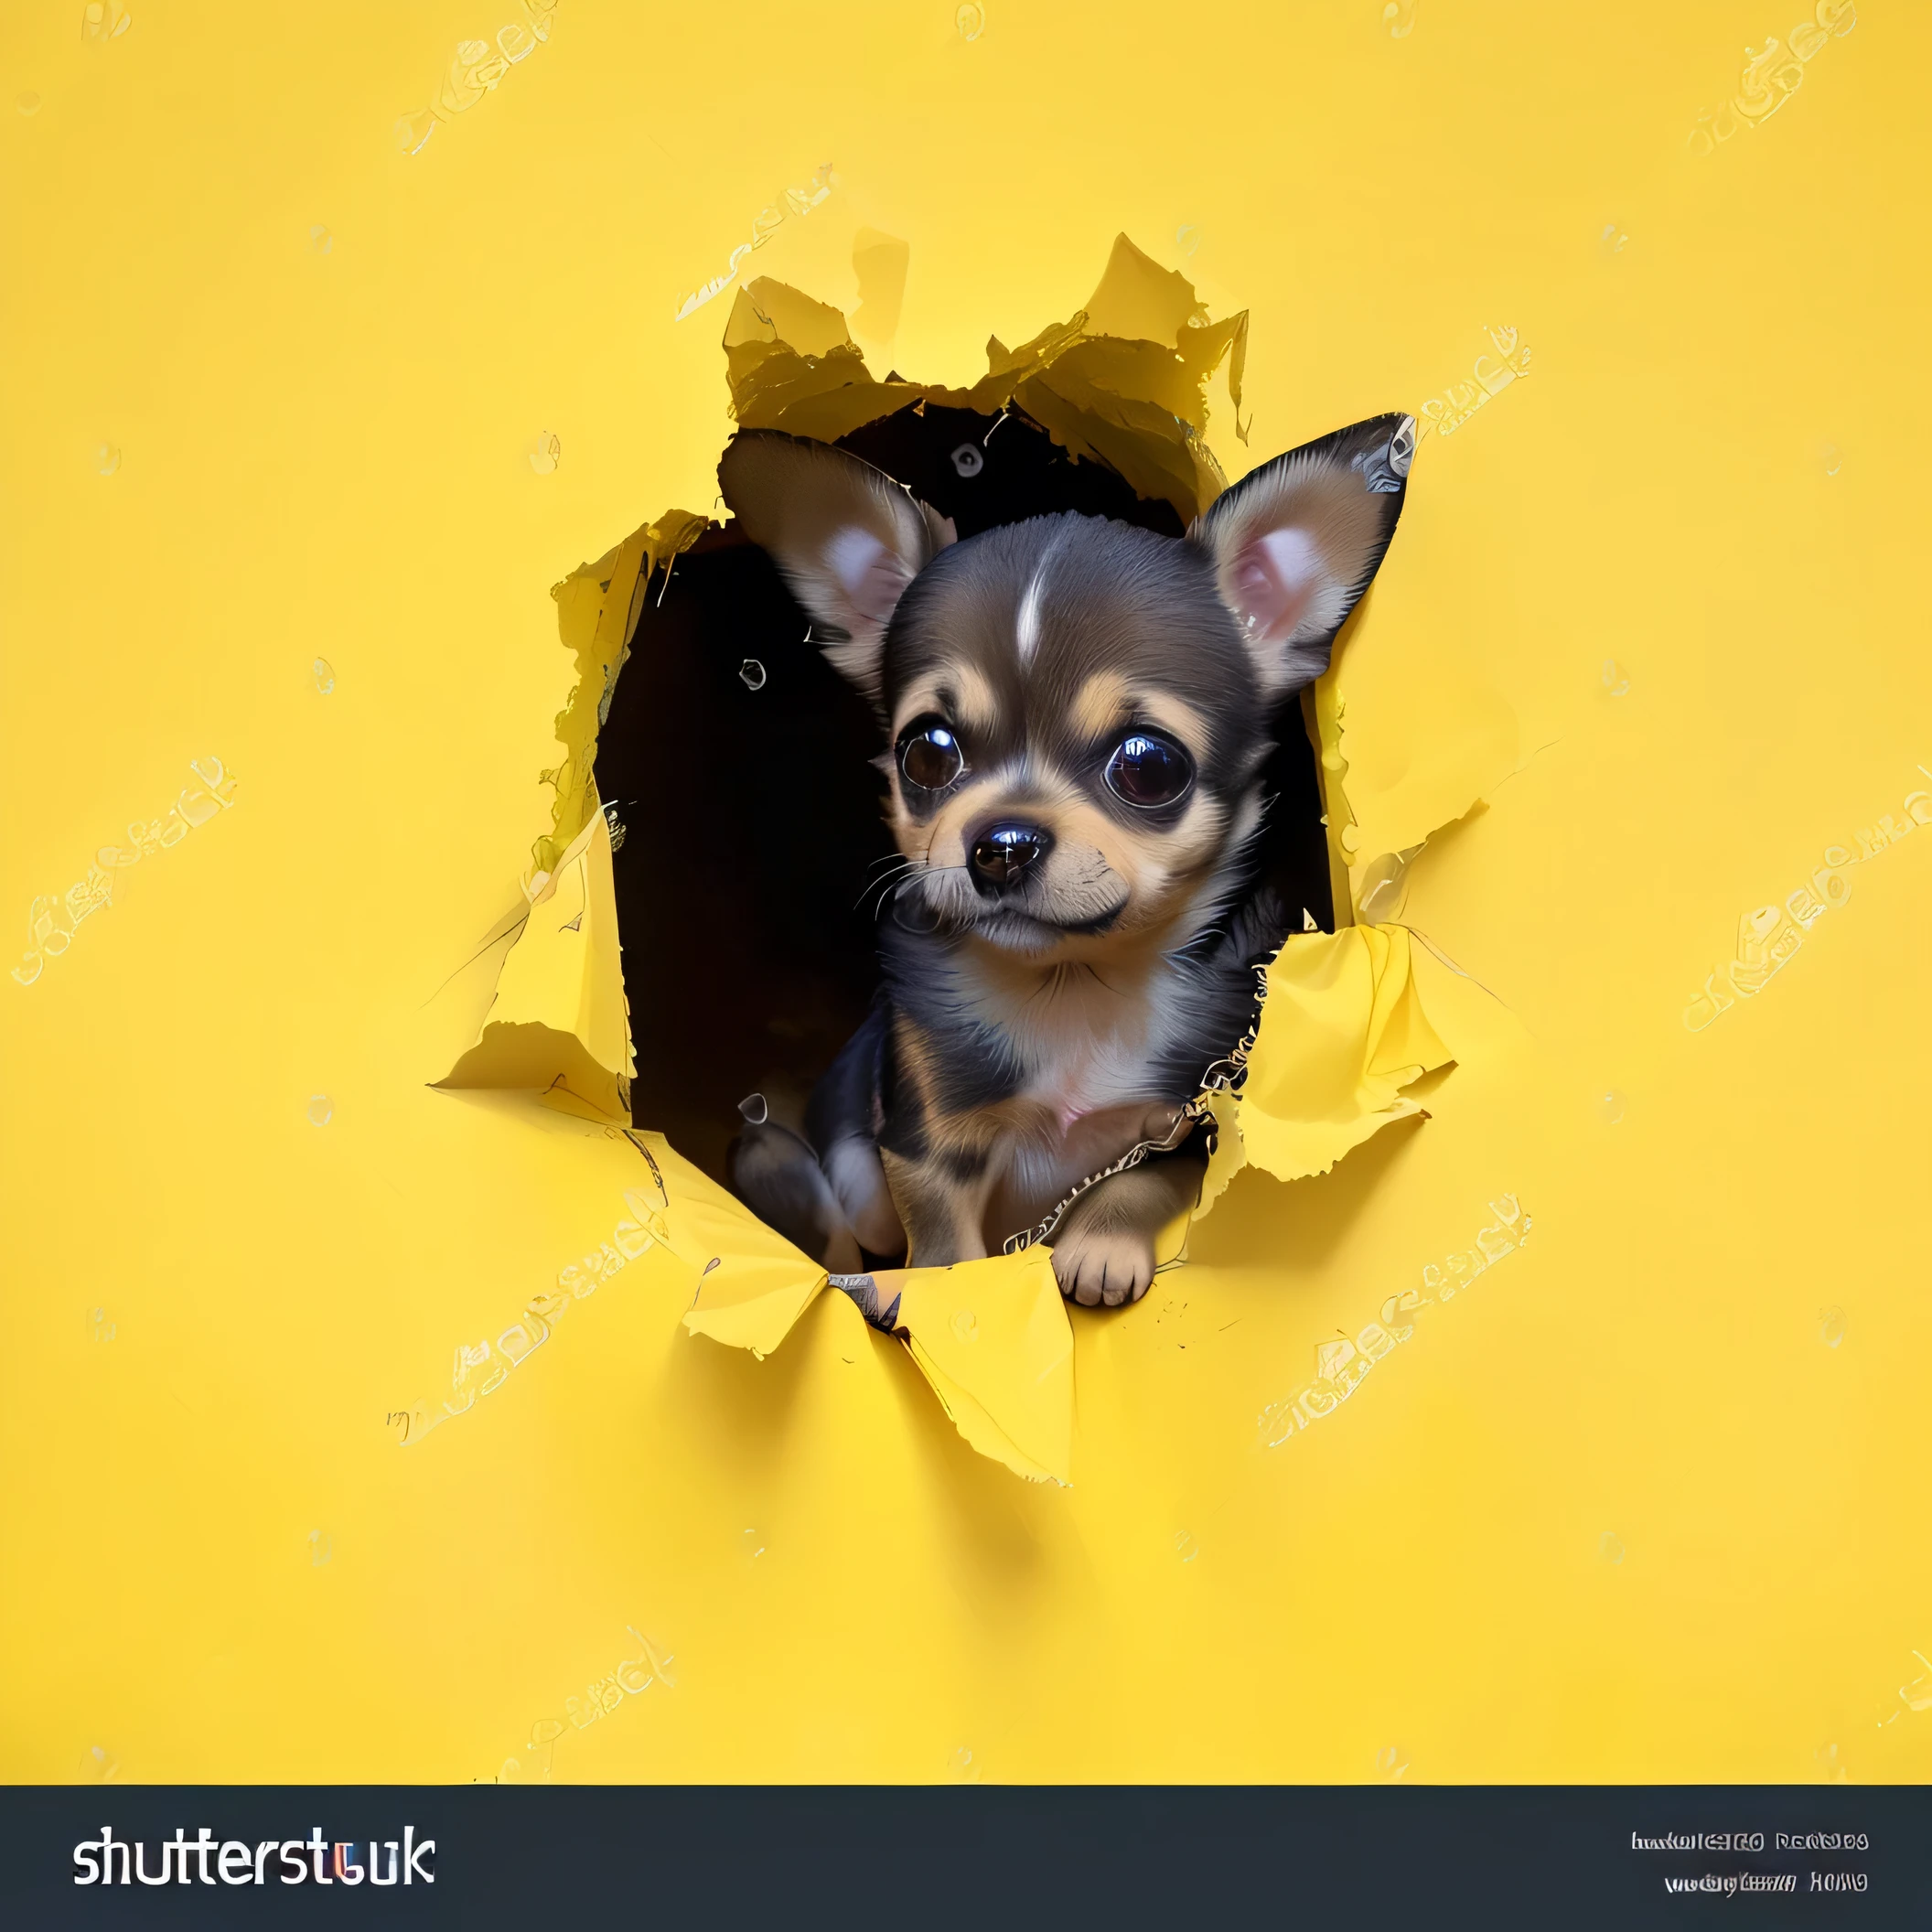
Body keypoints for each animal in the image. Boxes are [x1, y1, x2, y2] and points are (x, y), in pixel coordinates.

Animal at [718, 413, 1413, 1305]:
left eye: (1148, 766)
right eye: (927, 752)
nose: (1002, 846)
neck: (1074, 991)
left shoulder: (1191, 1123)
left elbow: (1139, 1180)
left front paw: (1102, 1250)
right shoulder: (929, 1141)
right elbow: (941, 1235)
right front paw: (948, 1299)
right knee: (836, 1223)